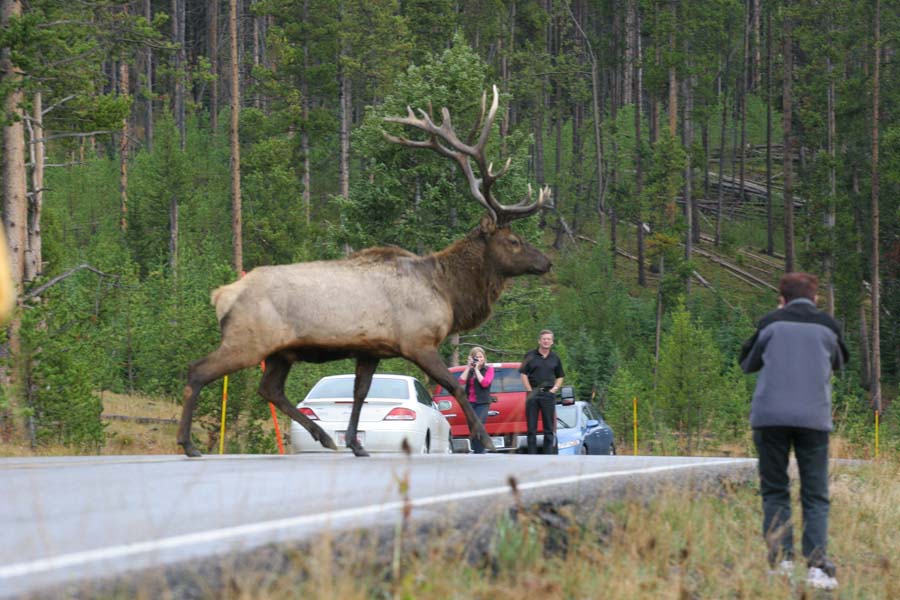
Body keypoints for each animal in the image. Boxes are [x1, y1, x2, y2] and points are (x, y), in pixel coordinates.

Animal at [178, 84, 548, 458]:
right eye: (514, 240)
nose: (546, 261)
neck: (448, 291)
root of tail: (221, 295)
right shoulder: (419, 340)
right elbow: (455, 388)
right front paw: (484, 440)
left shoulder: (372, 349)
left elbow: (360, 393)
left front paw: (356, 443)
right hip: (248, 340)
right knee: (198, 371)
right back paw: (188, 444)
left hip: (280, 351)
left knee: (270, 389)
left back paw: (324, 437)